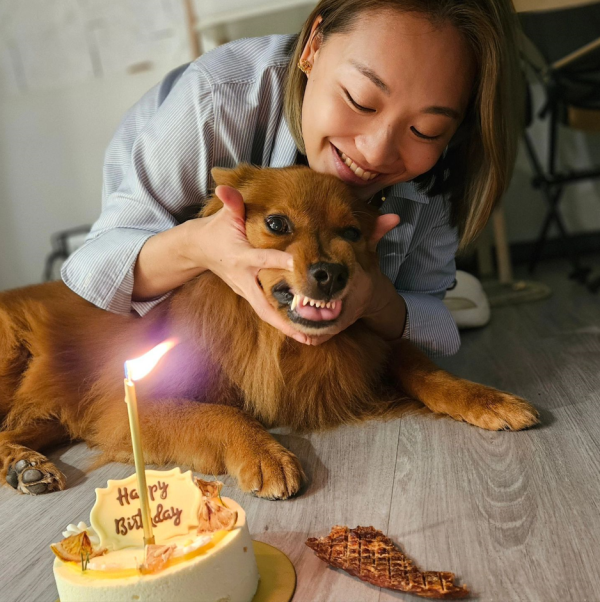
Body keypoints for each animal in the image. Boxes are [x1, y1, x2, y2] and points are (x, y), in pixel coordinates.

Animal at [0, 164, 540, 496]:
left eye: (352, 233)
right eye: (278, 224)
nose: (331, 273)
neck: (272, 335)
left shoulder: (374, 348)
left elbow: (428, 371)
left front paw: (487, 398)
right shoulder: (129, 403)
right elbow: (222, 414)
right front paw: (265, 453)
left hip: (49, 414)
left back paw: (24, 466)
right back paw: (27, 466)